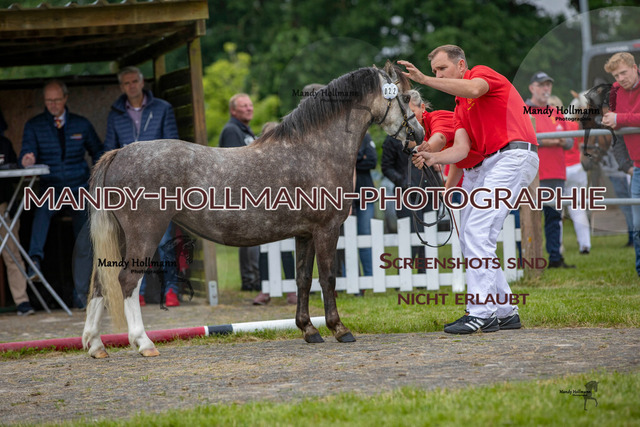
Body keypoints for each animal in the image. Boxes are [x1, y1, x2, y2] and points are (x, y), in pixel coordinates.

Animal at [81, 62, 425, 358]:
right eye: (404, 97)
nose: (419, 134)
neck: (316, 150)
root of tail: (119, 153)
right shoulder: (327, 229)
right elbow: (328, 278)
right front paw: (339, 329)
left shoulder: (305, 234)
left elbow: (303, 279)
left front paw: (308, 330)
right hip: (145, 235)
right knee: (127, 281)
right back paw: (143, 343)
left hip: (121, 238)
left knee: (100, 282)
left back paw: (96, 345)